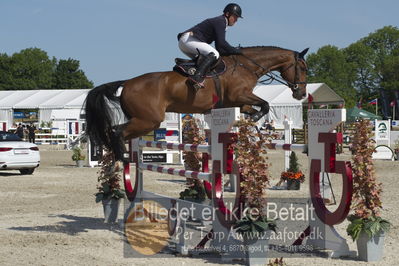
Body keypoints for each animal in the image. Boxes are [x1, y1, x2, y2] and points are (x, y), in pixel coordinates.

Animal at [84, 45, 310, 160]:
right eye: (303, 67)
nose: (301, 94)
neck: (246, 65)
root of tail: (128, 83)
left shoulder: (237, 102)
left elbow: (259, 108)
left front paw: (255, 124)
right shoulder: (240, 95)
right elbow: (264, 105)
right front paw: (255, 120)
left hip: (142, 121)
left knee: (118, 132)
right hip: (148, 120)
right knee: (116, 131)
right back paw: (121, 158)